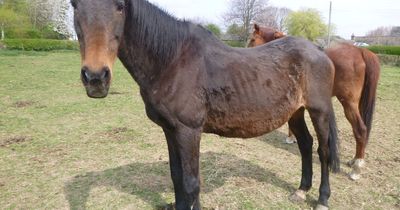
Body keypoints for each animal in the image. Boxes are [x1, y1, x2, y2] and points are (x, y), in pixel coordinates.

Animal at [72, 0, 340, 209]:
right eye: (74, 5)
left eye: (120, 7)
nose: (95, 78)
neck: (173, 61)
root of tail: (319, 50)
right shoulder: (170, 130)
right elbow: (177, 177)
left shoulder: (189, 131)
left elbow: (191, 183)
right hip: (295, 112)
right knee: (305, 144)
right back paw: (301, 190)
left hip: (319, 111)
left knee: (323, 151)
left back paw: (322, 199)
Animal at [248, 23, 380, 180]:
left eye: (252, 39)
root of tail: (360, 50)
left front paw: (290, 138)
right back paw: (354, 160)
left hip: (349, 103)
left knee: (360, 129)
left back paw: (356, 169)